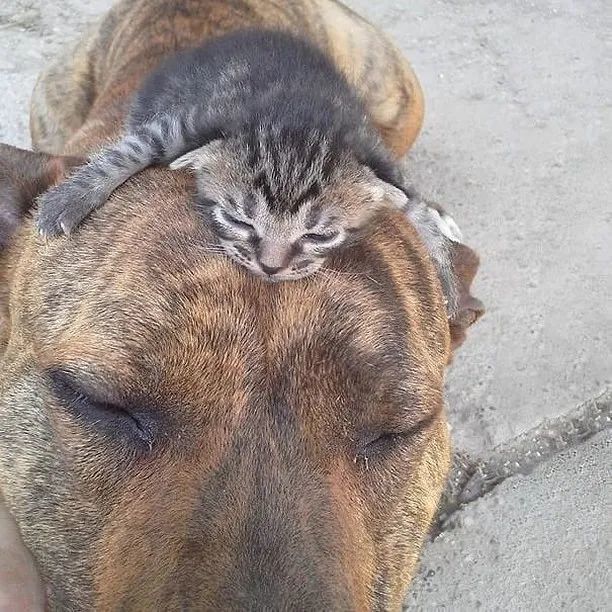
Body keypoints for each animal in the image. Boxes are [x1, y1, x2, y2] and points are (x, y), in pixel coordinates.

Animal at [37, 29, 412, 282]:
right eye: (238, 221)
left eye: (319, 236)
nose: (271, 267)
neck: (300, 117)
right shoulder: (191, 121)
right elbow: (134, 148)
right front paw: (68, 199)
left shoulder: (368, 140)